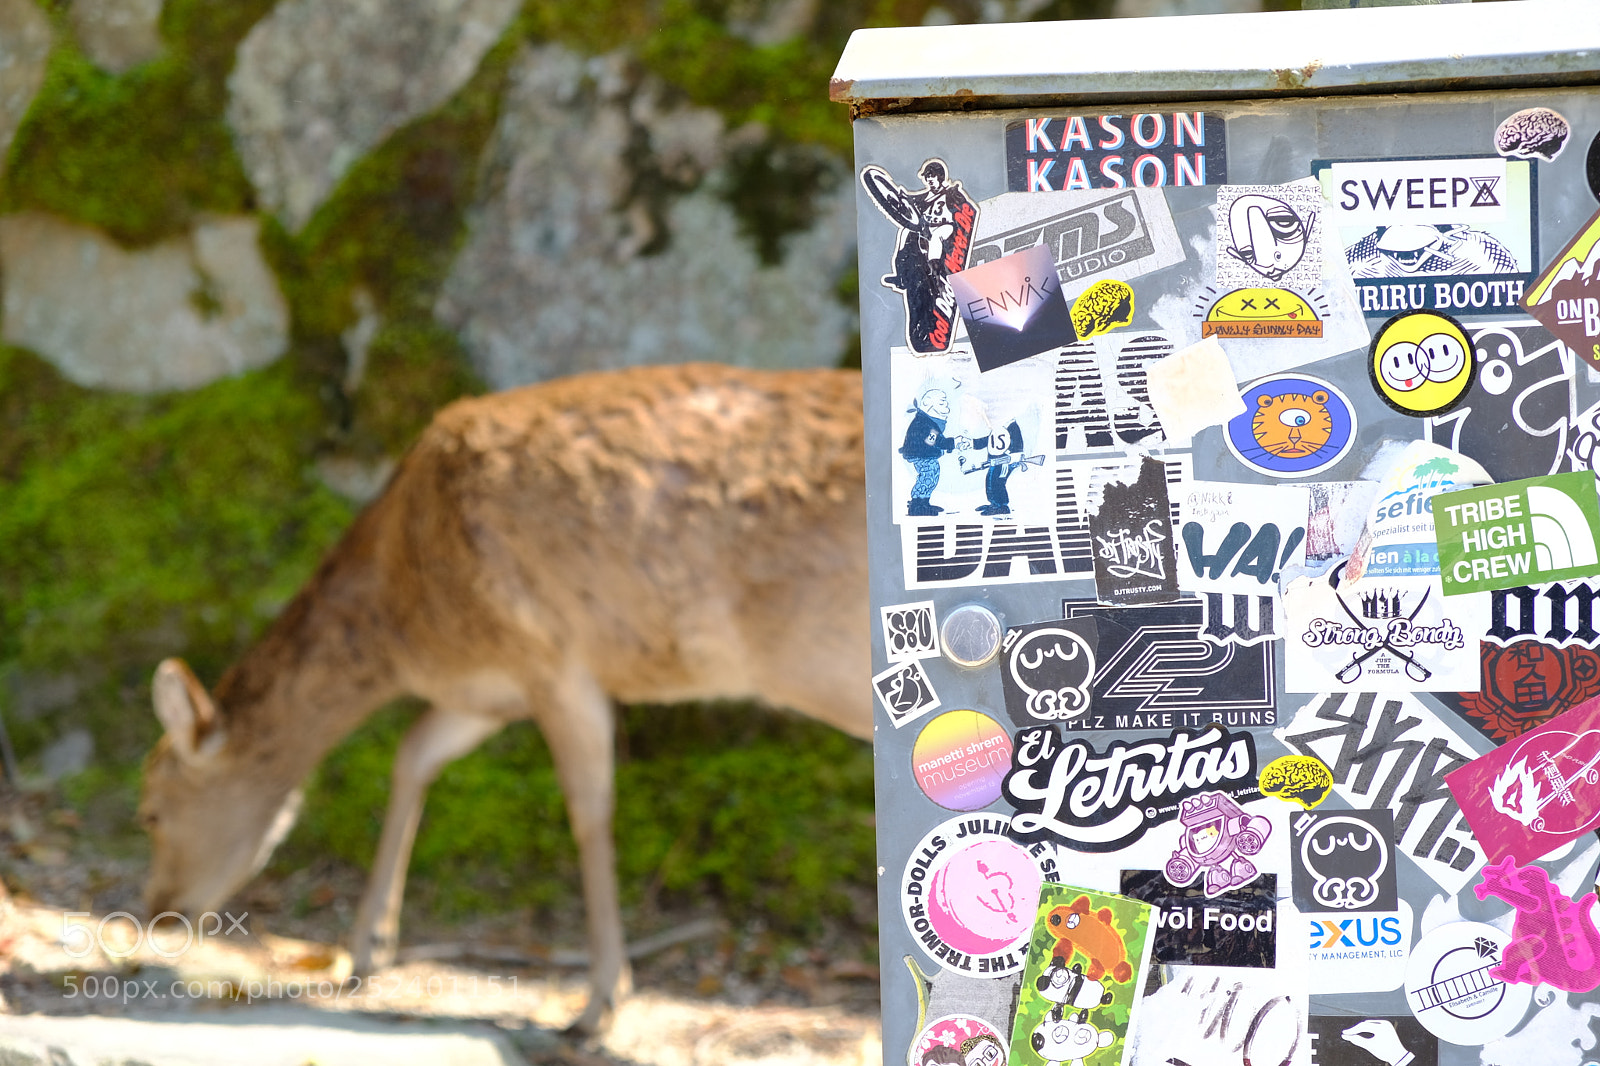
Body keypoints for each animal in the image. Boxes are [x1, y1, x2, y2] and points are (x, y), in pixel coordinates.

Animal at [139, 362, 872, 1034]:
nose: (156, 912)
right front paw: (367, 949)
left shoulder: (553, 656)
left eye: (150, 811)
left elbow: (588, 810)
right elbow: (413, 753)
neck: (408, 623)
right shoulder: (490, 692)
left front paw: (600, 1004)